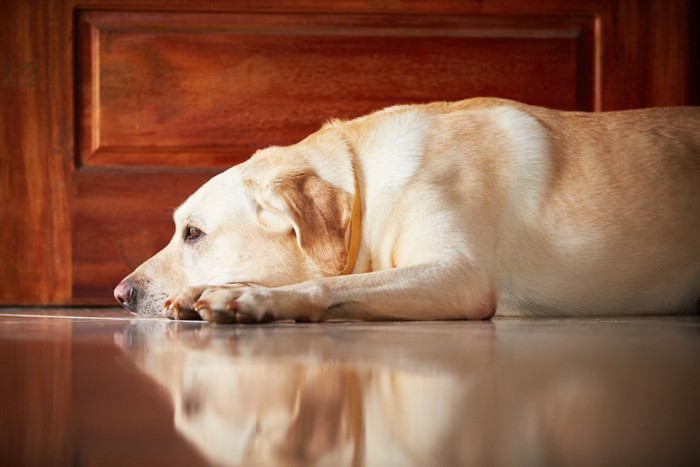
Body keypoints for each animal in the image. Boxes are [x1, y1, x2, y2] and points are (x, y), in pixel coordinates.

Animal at [115, 99, 700, 324]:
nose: (121, 295)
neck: (366, 184)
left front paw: (250, 297)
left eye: (193, 233)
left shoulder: (461, 276)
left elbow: (333, 283)